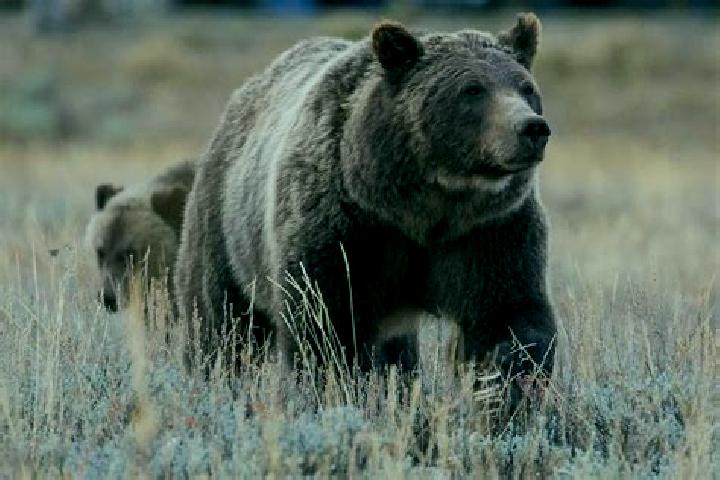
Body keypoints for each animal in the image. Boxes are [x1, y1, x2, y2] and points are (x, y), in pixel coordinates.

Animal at [175, 14, 555, 387]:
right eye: (472, 89)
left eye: (526, 88)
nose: (532, 127)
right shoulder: (347, 227)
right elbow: (326, 323)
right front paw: (336, 382)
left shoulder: (489, 229)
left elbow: (507, 316)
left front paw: (508, 385)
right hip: (225, 226)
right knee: (221, 318)